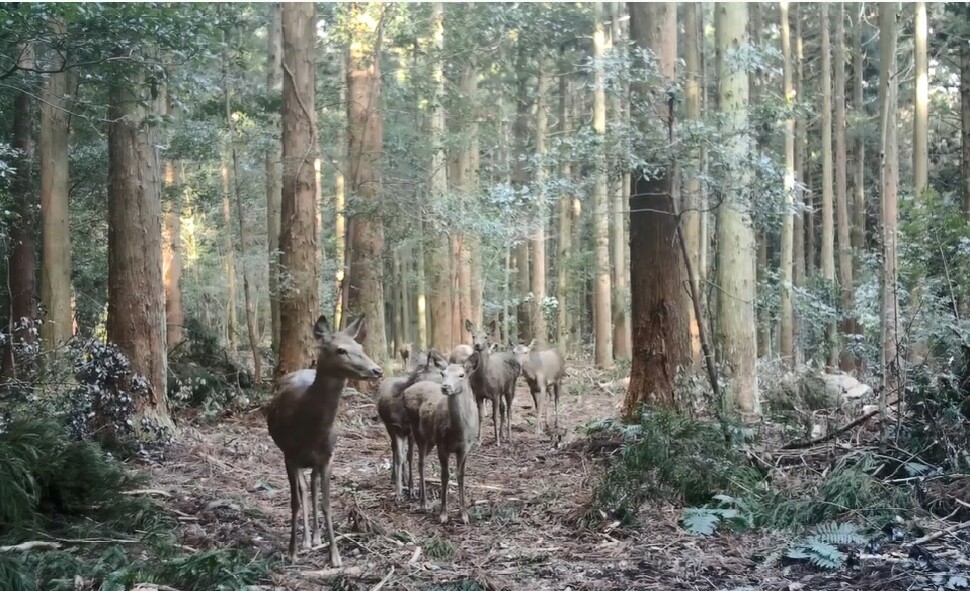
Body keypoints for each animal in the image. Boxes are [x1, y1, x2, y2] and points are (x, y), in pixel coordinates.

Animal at [268, 316, 386, 568]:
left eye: (359, 346)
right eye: (340, 350)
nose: (377, 370)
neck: (310, 430)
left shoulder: (328, 457)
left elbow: (326, 503)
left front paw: (335, 555)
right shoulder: (289, 455)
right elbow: (294, 502)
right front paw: (292, 552)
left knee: (311, 486)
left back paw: (315, 537)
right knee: (303, 489)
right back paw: (305, 540)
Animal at [376, 350, 448, 502]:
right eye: (442, 372)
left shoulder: (411, 430)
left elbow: (409, 456)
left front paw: (412, 489)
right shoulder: (394, 427)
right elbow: (399, 456)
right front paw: (398, 493)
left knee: (403, 453)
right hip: (389, 426)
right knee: (395, 450)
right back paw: (394, 478)